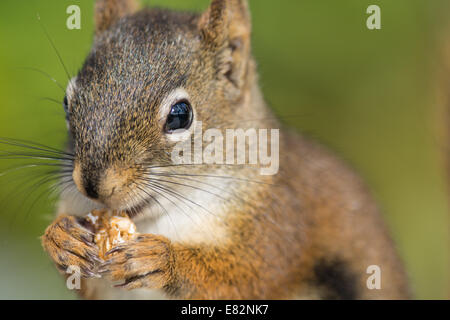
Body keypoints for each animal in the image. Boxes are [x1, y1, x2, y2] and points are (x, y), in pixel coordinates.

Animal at [41, 0, 412, 300]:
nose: (92, 185)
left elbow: (241, 279)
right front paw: (60, 239)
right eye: (67, 102)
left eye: (180, 115)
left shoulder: (280, 223)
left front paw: (166, 261)